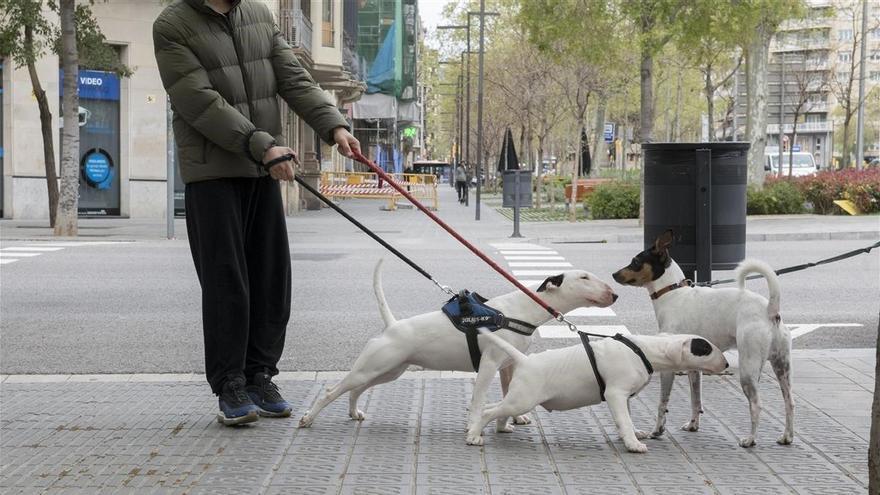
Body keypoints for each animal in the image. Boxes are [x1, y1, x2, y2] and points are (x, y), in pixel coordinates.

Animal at [300, 260, 616, 446]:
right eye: (584, 277)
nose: (614, 295)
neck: (518, 311)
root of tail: (392, 325)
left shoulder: (508, 365)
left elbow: (507, 392)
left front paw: (513, 421)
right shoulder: (489, 364)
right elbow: (478, 400)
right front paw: (473, 429)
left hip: (389, 370)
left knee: (356, 389)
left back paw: (354, 413)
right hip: (374, 366)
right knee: (332, 390)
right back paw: (307, 419)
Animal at [474, 330, 728, 454]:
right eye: (705, 348)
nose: (726, 364)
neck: (644, 349)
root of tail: (525, 360)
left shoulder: (624, 396)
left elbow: (627, 418)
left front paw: (634, 434)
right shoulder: (615, 394)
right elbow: (624, 420)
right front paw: (633, 444)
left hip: (519, 397)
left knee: (494, 408)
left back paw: (501, 428)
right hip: (523, 399)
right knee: (487, 411)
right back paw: (473, 436)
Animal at [612, 232, 796, 450]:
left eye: (636, 261)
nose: (613, 275)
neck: (673, 293)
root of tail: (770, 310)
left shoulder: (668, 369)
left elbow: (663, 402)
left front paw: (657, 430)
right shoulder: (694, 367)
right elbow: (696, 399)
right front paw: (693, 425)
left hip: (749, 369)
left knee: (756, 405)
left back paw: (750, 439)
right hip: (782, 366)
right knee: (789, 402)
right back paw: (787, 436)